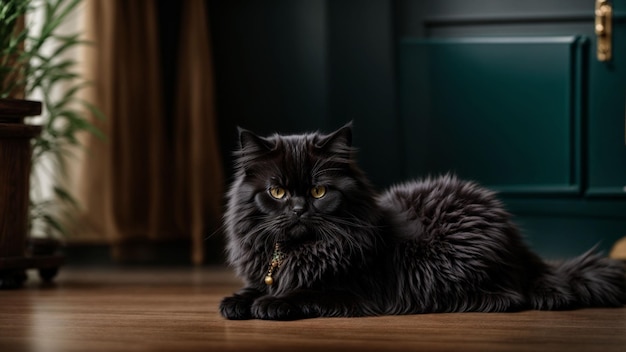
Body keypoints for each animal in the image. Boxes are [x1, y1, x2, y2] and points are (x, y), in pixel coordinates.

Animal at [219, 124, 624, 322]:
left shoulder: (355, 291)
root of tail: (518, 244)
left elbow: (304, 292)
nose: (299, 209)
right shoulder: (269, 271)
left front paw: (269, 304)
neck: (294, 251)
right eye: (277, 192)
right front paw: (237, 302)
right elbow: (258, 287)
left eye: (319, 191)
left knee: (512, 295)